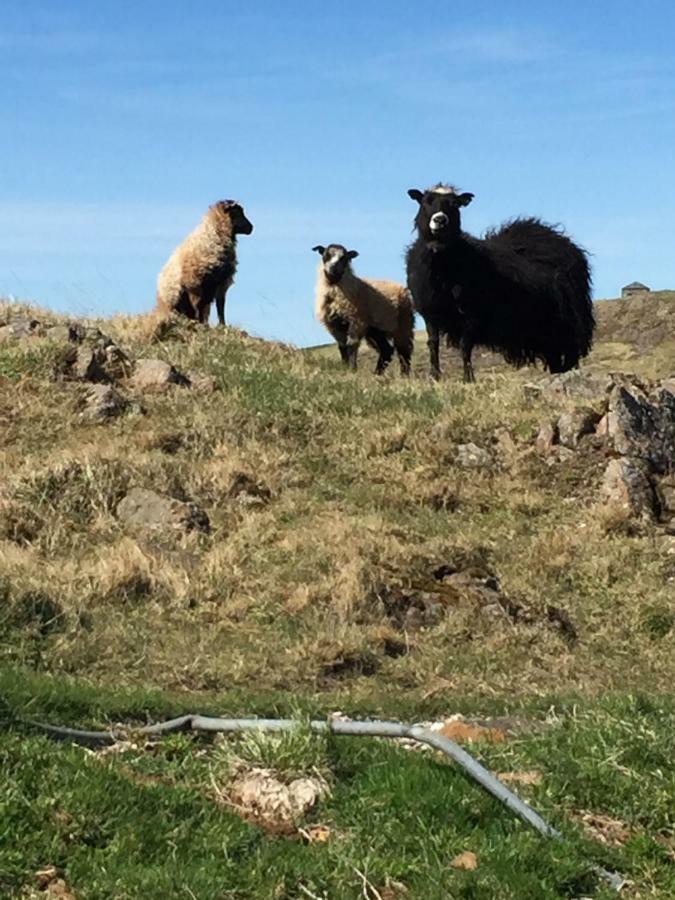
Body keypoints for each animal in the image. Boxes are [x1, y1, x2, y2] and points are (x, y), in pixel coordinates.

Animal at [312, 243, 418, 372]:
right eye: (326, 254)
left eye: (344, 257)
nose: (333, 268)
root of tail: (402, 289)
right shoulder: (333, 325)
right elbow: (342, 346)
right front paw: (345, 368)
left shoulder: (356, 320)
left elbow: (351, 344)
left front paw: (352, 370)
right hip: (376, 329)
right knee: (387, 350)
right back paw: (377, 373)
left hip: (403, 324)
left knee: (404, 352)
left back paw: (403, 374)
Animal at [404, 183, 596, 380]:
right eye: (426, 201)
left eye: (455, 204)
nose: (440, 220)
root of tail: (561, 240)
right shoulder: (430, 312)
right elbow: (433, 344)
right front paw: (434, 376)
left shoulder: (473, 313)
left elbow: (465, 346)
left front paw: (468, 379)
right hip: (546, 332)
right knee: (555, 359)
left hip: (568, 326)